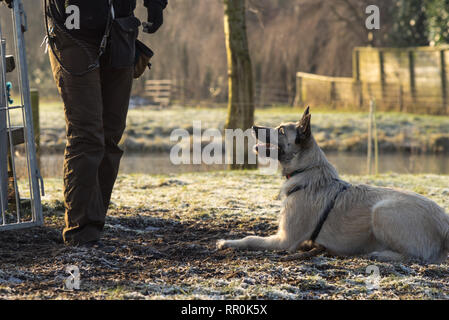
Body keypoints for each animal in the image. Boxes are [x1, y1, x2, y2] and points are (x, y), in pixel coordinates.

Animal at [215, 106, 446, 264]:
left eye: (280, 130)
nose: (253, 127)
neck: (307, 170)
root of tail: (445, 225)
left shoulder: (284, 240)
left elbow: (250, 238)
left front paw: (228, 242)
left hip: (382, 211)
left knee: (415, 256)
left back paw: (379, 253)